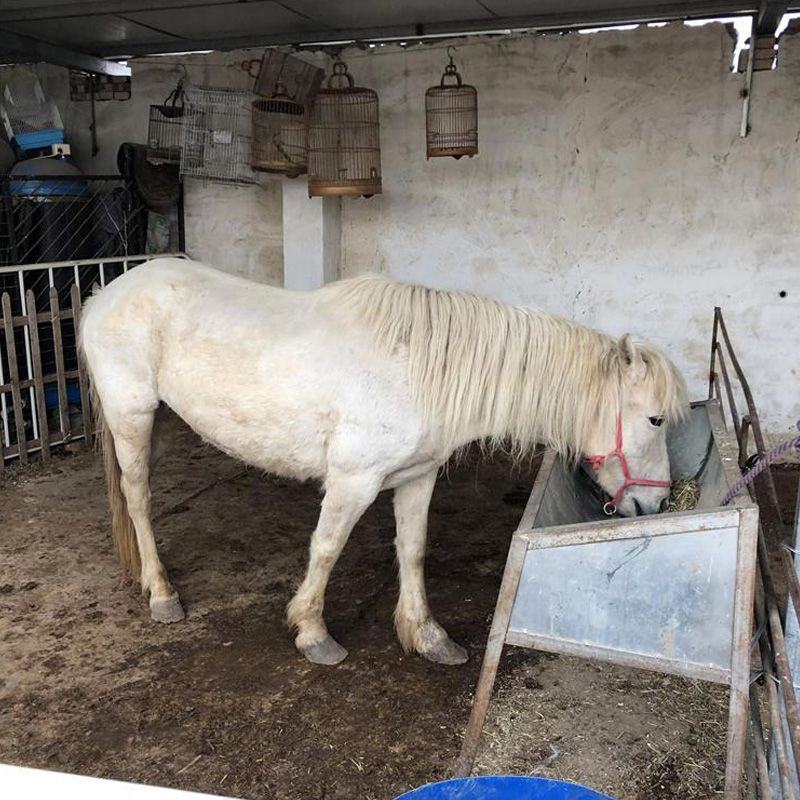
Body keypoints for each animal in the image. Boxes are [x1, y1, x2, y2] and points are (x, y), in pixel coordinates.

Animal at [79, 257, 687, 667]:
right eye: (656, 420)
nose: (655, 502)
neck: (422, 370)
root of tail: (106, 292)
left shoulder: (417, 478)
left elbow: (413, 551)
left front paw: (428, 636)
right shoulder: (353, 481)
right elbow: (326, 550)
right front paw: (313, 632)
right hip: (132, 415)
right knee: (138, 498)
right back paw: (162, 592)